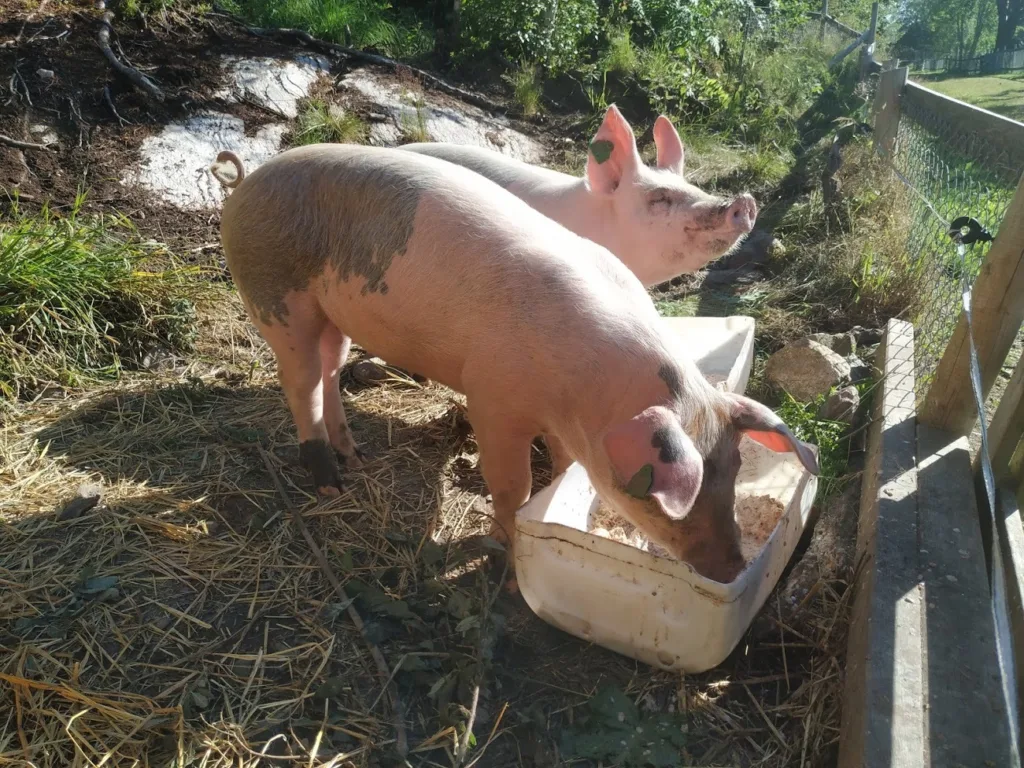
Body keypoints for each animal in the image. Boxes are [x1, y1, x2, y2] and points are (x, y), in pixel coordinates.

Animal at [211, 144, 817, 583]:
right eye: (668, 492)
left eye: (734, 470)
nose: (734, 569)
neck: (584, 390)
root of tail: (245, 183)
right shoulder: (492, 399)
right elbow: (511, 485)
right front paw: (506, 542)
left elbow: (560, 464)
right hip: (274, 291)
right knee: (300, 380)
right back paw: (330, 483)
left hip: (331, 310)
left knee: (331, 368)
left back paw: (356, 456)